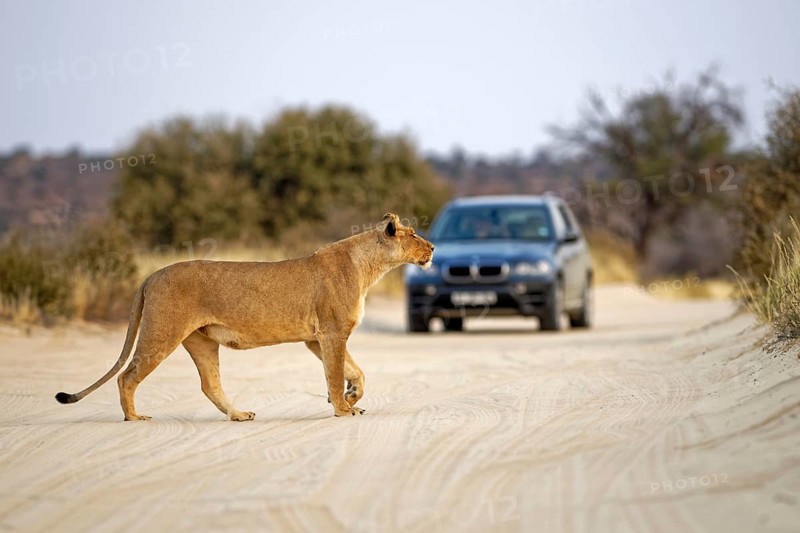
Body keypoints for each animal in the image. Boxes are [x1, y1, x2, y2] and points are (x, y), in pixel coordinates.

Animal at [55, 213, 434, 421]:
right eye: (413, 234)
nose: (432, 248)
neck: (369, 267)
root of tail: (151, 275)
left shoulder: (316, 339)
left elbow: (356, 372)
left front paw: (350, 397)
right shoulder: (331, 333)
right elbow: (335, 373)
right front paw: (342, 408)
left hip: (201, 342)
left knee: (210, 385)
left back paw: (239, 415)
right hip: (161, 334)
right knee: (127, 376)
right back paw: (134, 417)